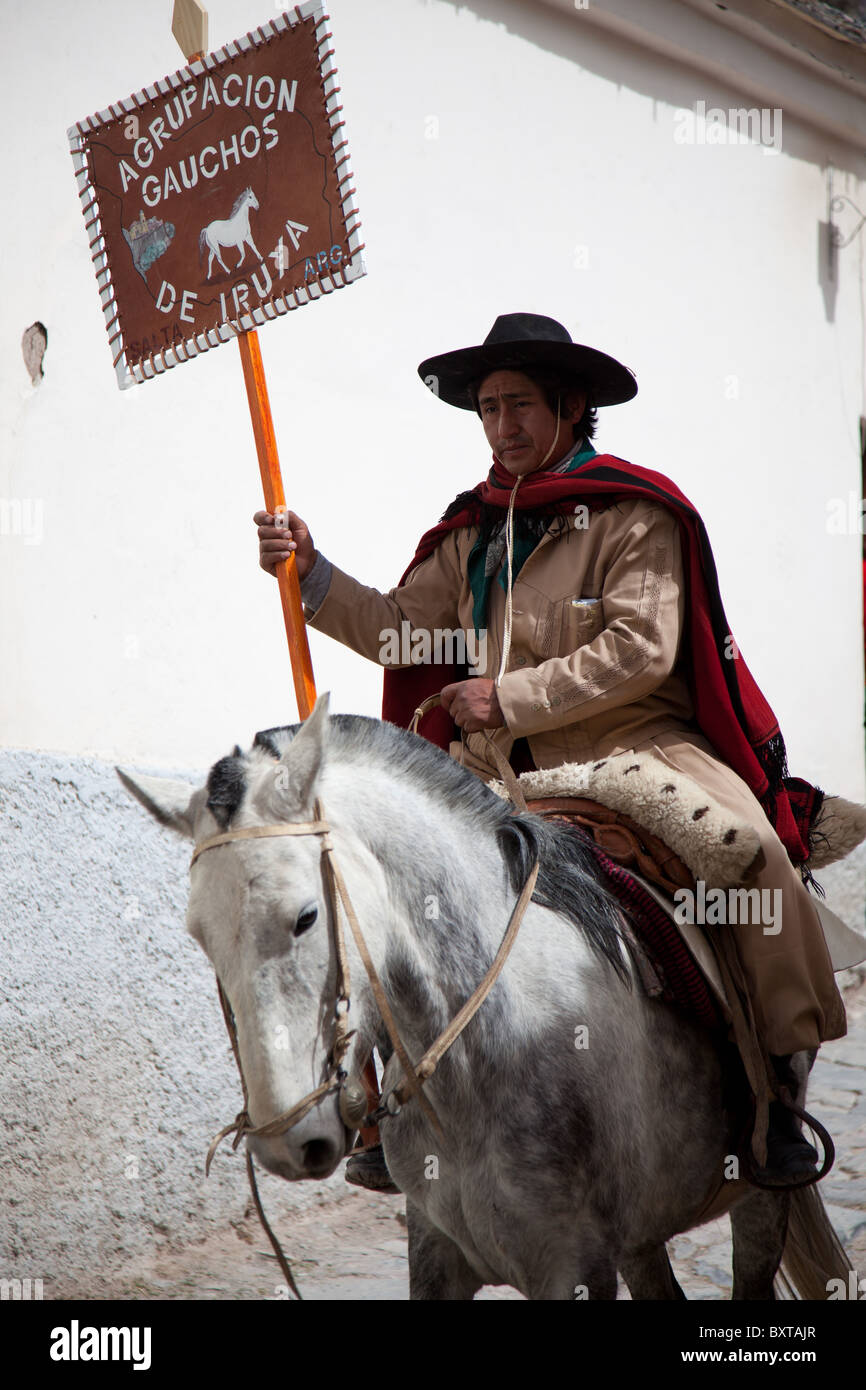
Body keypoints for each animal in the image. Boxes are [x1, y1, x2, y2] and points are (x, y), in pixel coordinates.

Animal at [118, 700, 850, 1295]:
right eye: (199, 933)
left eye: (305, 916)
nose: (284, 1142)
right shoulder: (434, 1252)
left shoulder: (574, 1267)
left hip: (758, 1194)